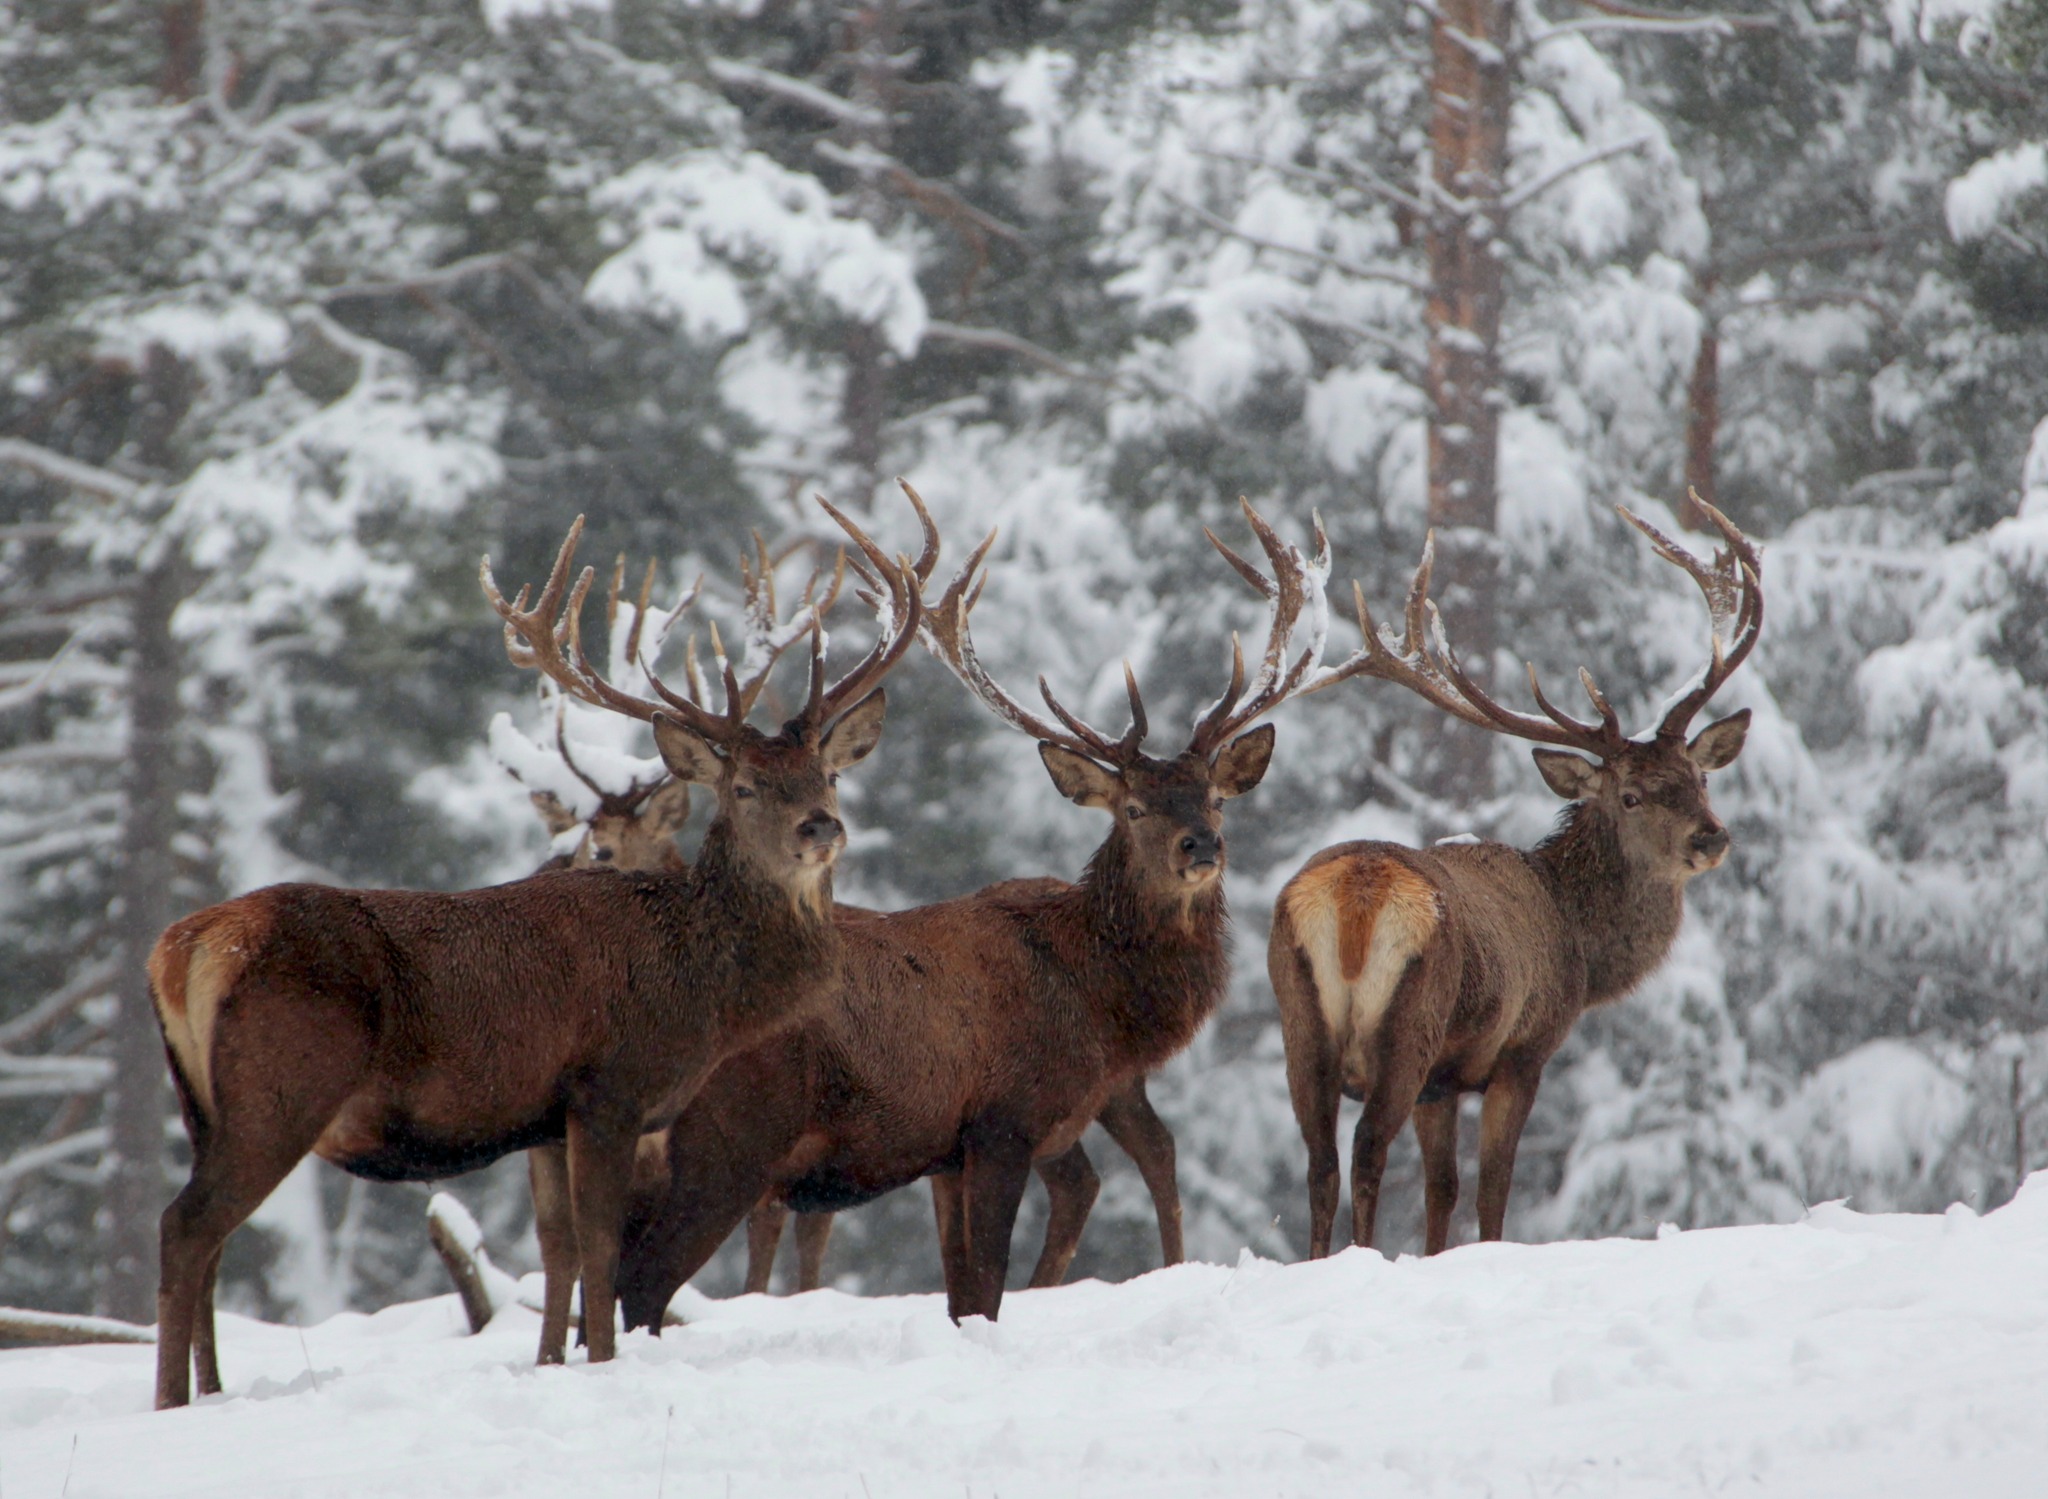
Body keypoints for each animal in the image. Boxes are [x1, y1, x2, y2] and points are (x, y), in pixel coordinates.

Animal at [1261, 499, 1761, 1253]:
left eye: (1698, 777)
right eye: (1629, 796)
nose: (1710, 836)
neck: (1581, 947)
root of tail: (1354, 896)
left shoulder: (1442, 1084)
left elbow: (1441, 1190)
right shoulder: (1522, 1052)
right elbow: (1491, 1189)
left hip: (1300, 1021)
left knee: (1320, 1160)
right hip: (1410, 1022)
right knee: (1367, 1149)